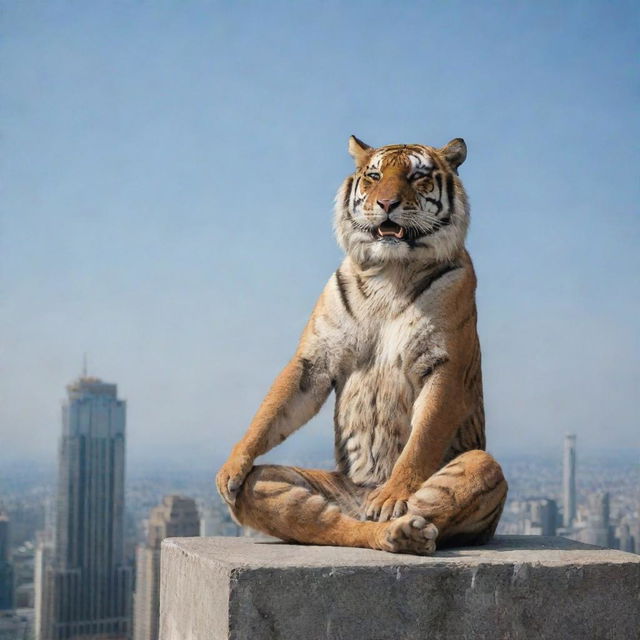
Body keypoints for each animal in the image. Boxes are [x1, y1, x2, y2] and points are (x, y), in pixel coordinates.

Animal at [218, 136, 508, 556]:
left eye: (416, 176)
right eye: (374, 176)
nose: (386, 204)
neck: (391, 269)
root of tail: (359, 499)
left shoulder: (443, 363)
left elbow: (423, 439)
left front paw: (393, 495)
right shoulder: (316, 360)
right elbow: (275, 407)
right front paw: (233, 464)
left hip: (480, 468)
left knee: (448, 488)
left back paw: (396, 523)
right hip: (282, 487)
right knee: (332, 524)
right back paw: (386, 531)